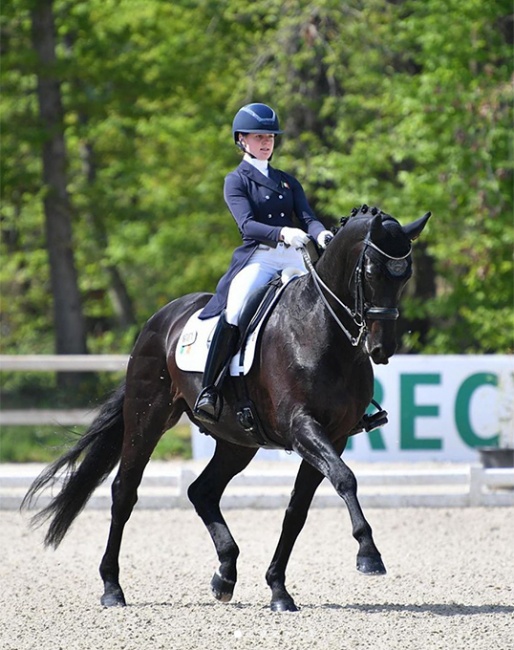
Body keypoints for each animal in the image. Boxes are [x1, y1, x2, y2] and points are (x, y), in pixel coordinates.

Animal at [22, 205, 428, 612]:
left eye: (406, 274)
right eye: (371, 272)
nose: (382, 349)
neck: (321, 329)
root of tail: (161, 318)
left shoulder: (336, 435)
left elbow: (297, 510)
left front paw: (278, 589)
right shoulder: (302, 427)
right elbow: (345, 479)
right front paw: (369, 554)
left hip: (237, 442)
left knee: (201, 491)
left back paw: (225, 575)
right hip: (147, 417)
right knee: (125, 490)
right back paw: (111, 587)